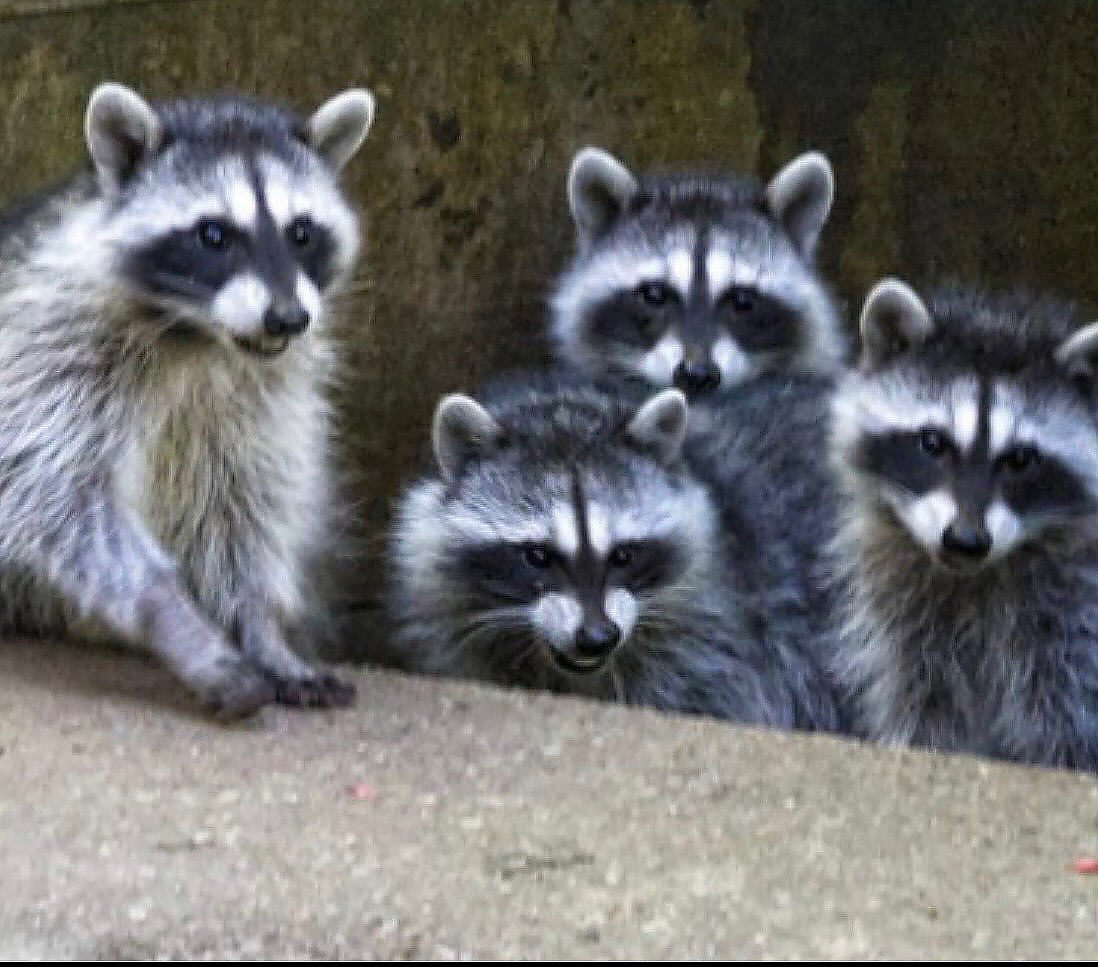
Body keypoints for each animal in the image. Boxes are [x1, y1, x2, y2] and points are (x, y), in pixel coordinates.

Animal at [0, 82, 375, 716]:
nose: (288, 318)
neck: (199, 335)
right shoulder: (45, 356)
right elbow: (58, 497)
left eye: (301, 232)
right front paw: (178, 622)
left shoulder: (261, 401)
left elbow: (242, 505)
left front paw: (262, 628)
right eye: (214, 235)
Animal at [829, 278, 1098, 768]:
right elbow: (924, 693)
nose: (966, 541)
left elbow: (1067, 704)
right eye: (932, 443)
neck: (975, 577)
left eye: (1020, 459)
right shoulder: (906, 606)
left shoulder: (1074, 607)